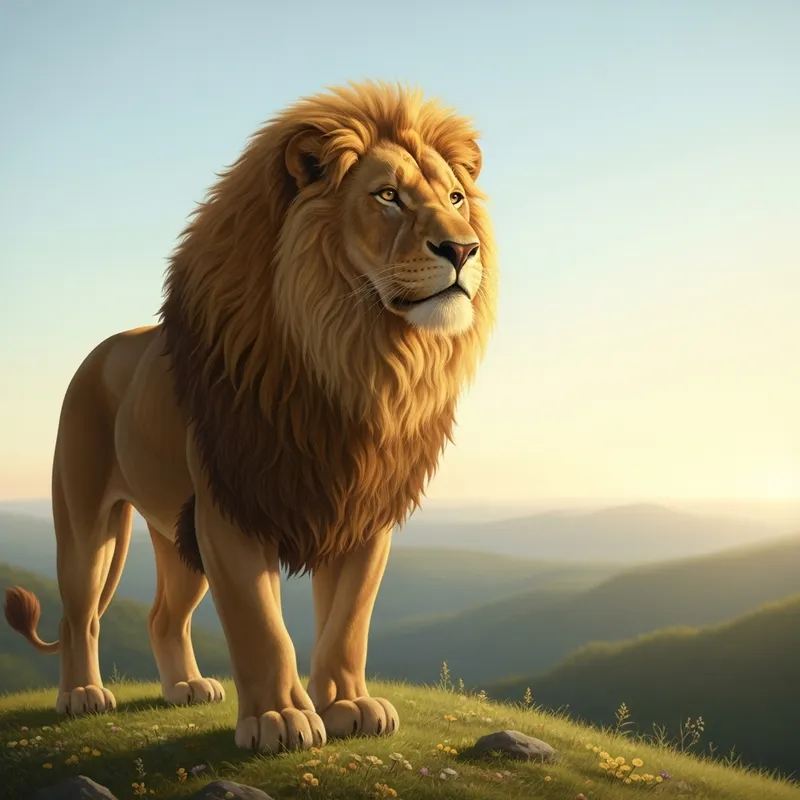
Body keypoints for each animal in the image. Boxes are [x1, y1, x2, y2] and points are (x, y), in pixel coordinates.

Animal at [3, 80, 497, 753]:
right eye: (387, 196)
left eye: (455, 198)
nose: (462, 248)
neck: (356, 359)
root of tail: (101, 351)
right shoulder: (230, 506)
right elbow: (261, 625)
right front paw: (279, 719)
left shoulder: (361, 509)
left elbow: (348, 621)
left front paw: (348, 706)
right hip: (86, 519)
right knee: (78, 612)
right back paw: (81, 694)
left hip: (176, 535)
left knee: (163, 616)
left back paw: (185, 687)